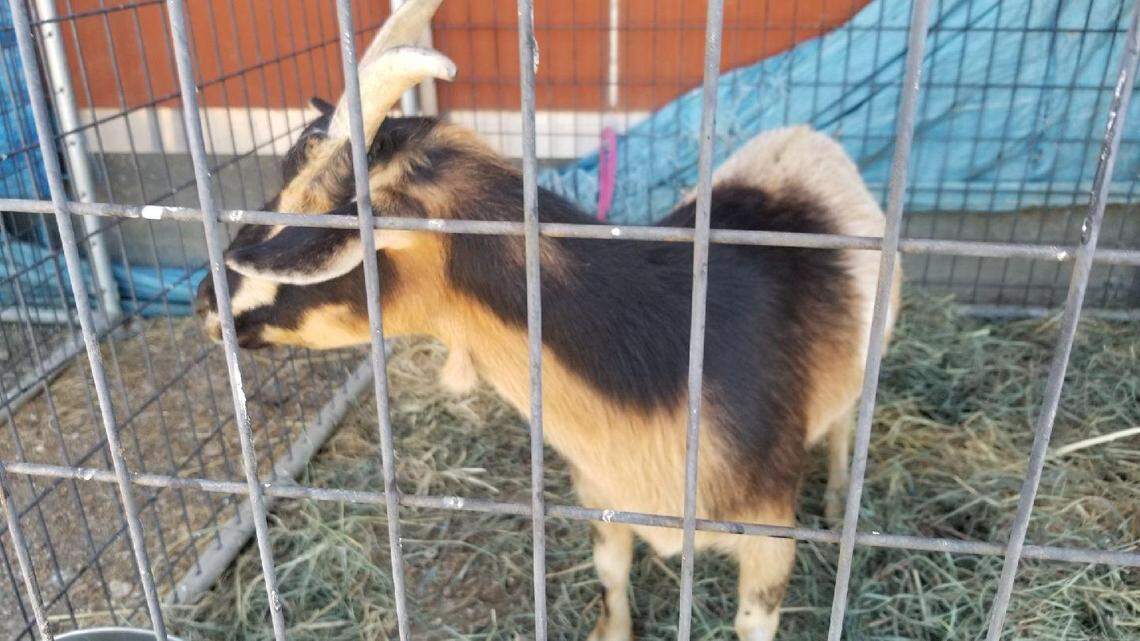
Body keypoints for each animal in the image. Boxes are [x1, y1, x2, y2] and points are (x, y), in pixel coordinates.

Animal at [194, 1, 902, 638]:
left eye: (316, 232)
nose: (205, 302)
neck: (665, 362)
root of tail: (808, 139)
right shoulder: (601, 494)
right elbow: (610, 574)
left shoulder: (767, 537)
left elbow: (753, 620)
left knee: (845, 426)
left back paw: (838, 499)